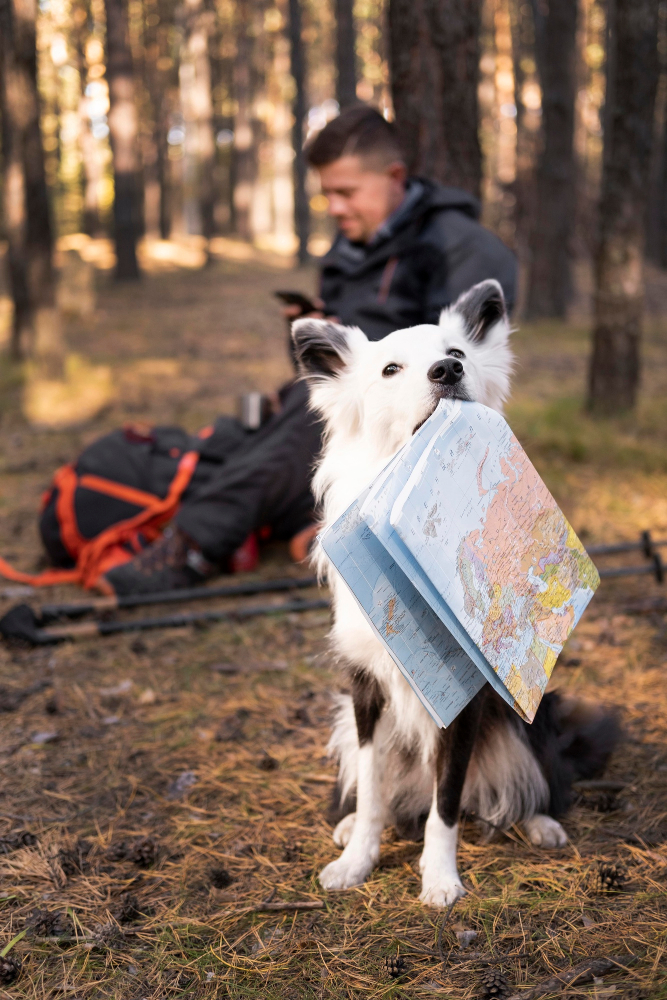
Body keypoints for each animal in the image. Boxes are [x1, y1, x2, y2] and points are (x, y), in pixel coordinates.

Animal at [292, 280, 620, 908]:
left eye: (458, 353)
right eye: (390, 369)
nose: (447, 371)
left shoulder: (465, 701)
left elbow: (445, 802)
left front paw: (440, 878)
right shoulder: (364, 690)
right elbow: (373, 788)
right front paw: (357, 859)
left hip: (530, 717)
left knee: (535, 778)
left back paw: (542, 821)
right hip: (344, 719)